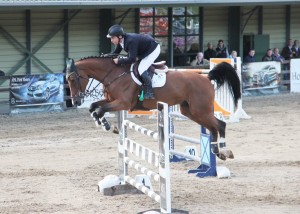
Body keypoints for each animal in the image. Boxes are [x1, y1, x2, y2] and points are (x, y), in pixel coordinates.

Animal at [65, 56, 241, 160]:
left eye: (72, 79)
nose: (75, 101)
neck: (114, 74)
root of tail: (207, 78)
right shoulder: (112, 100)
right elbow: (94, 107)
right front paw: (104, 124)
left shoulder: (123, 103)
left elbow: (101, 110)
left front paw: (108, 126)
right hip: (190, 111)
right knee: (213, 127)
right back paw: (217, 152)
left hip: (200, 110)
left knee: (220, 125)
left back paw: (225, 151)